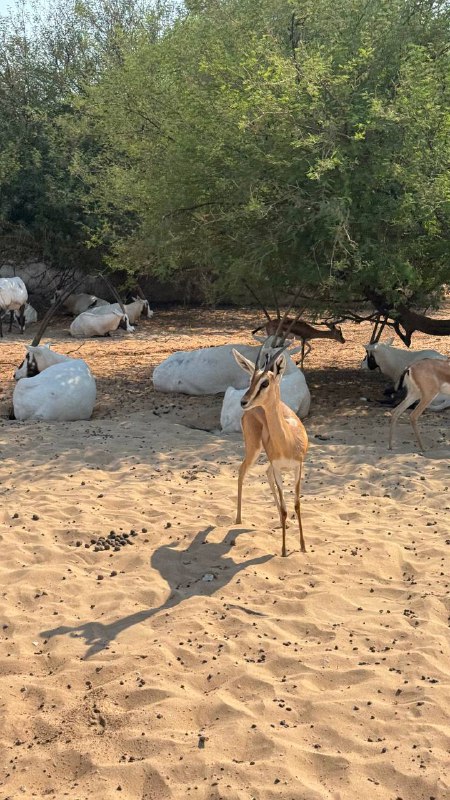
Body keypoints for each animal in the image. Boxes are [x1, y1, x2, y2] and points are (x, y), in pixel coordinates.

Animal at [232, 344, 310, 556]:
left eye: (265, 382)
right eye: (251, 380)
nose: (243, 401)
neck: (288, 441)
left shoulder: (298, 467)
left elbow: (297, 504)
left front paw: (302, 546)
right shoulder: (278, 468)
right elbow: (284, 508)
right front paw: (283, 550)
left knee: (264, 473)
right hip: (254, 449)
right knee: (242, 471)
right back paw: (238, 519)